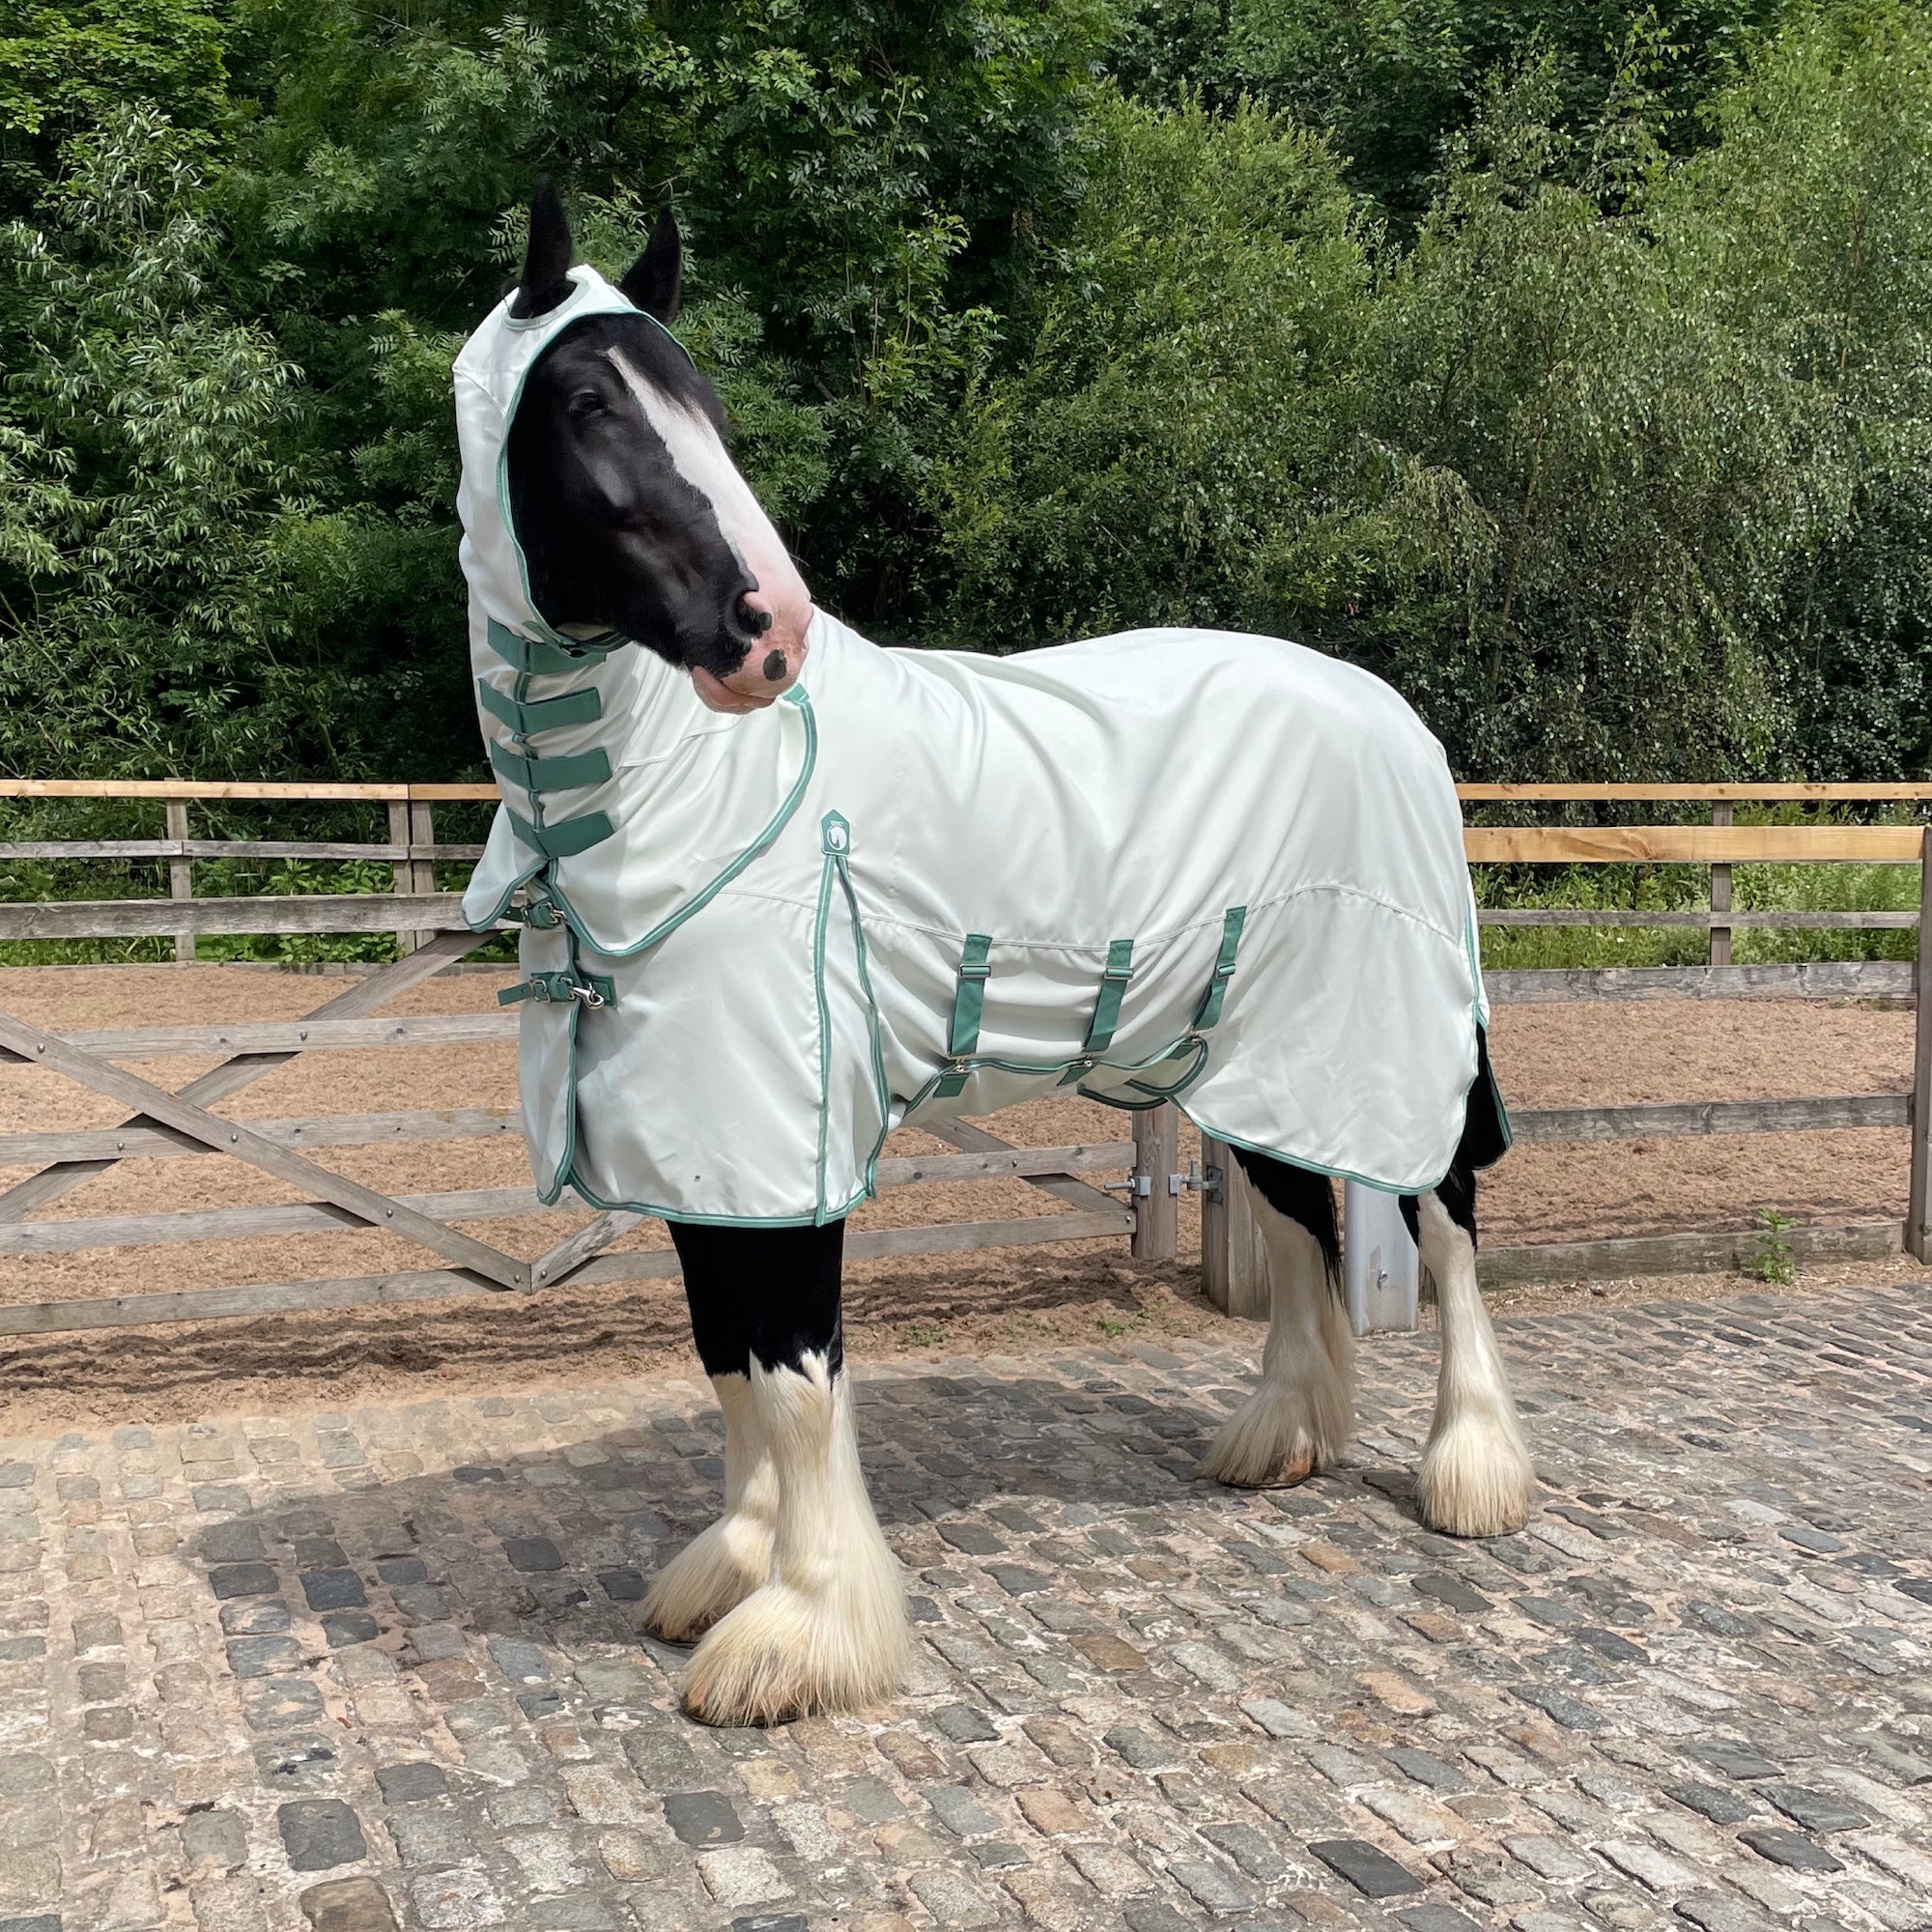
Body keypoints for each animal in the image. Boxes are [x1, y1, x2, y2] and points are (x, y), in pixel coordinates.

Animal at [450, 183, 1536, 1728]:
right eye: (590, 400)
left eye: (704, 403)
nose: (766, 630)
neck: (690, 791)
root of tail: (1388, 709)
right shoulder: (706, 1155)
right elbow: (727, 1362)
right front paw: (733, 1566)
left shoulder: (785, 1146)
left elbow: (791, 1375)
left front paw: (803, 1631)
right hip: (1254, 1062)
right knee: (1299, 1226)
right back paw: (1279, 1436)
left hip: (1381, 1052)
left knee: (1441, 1221)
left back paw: (1471, 1469)